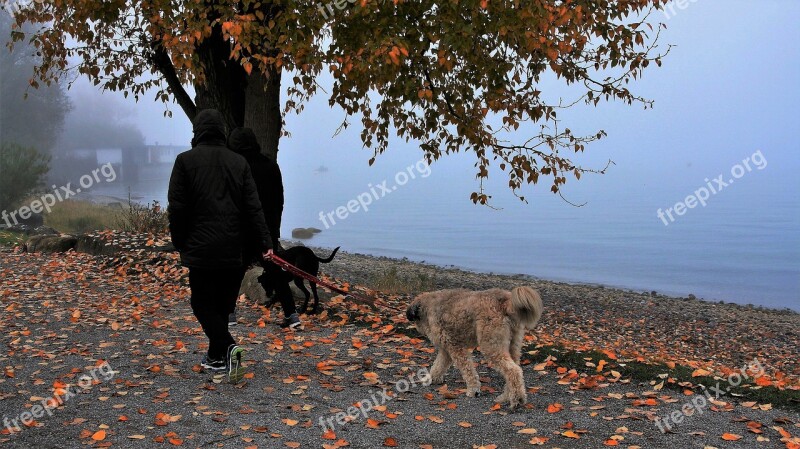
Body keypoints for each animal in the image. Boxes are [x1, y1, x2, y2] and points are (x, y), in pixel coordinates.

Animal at [406, 286, 544, 408]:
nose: (418, 331)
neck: (428, 306)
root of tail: (505, 301)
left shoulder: (455, 347)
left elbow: (468, 370)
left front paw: (473, 390)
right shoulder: (446, 351)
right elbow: (438, 366)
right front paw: (431, 379)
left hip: (491, 346)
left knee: (513, 371)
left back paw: (517, 400)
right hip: (513, 345)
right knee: (515, 371)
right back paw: (507, 397)